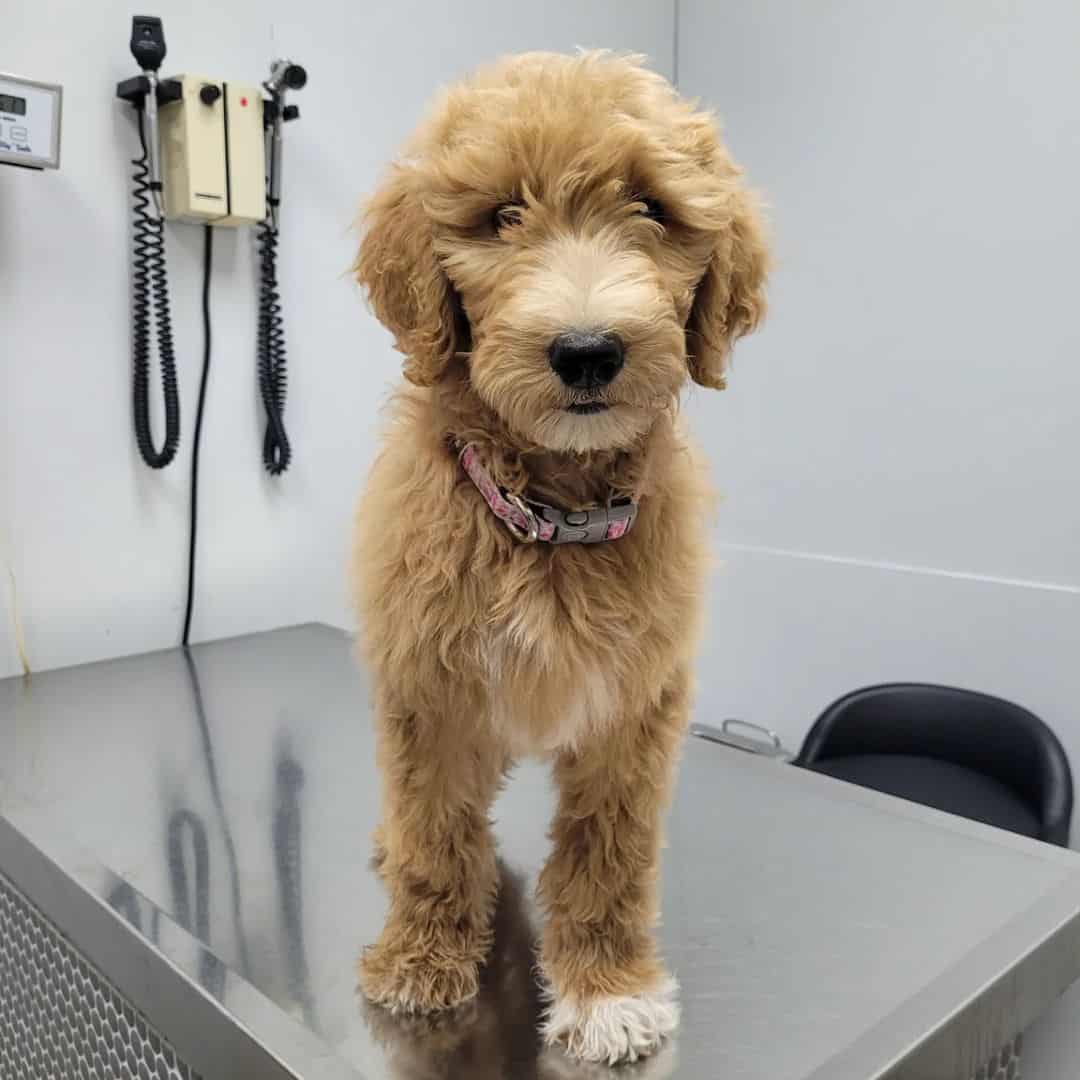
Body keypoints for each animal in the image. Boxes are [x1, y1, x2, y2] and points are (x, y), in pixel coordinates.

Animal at [349, 48, 764, 1062]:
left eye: (653, 208)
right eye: (502, 214)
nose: (586, 352)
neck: (550, 520)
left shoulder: (633, 708)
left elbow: (607, 859)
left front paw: (607, 991)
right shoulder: (429, 691)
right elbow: (434, 833)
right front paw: (421, 960)